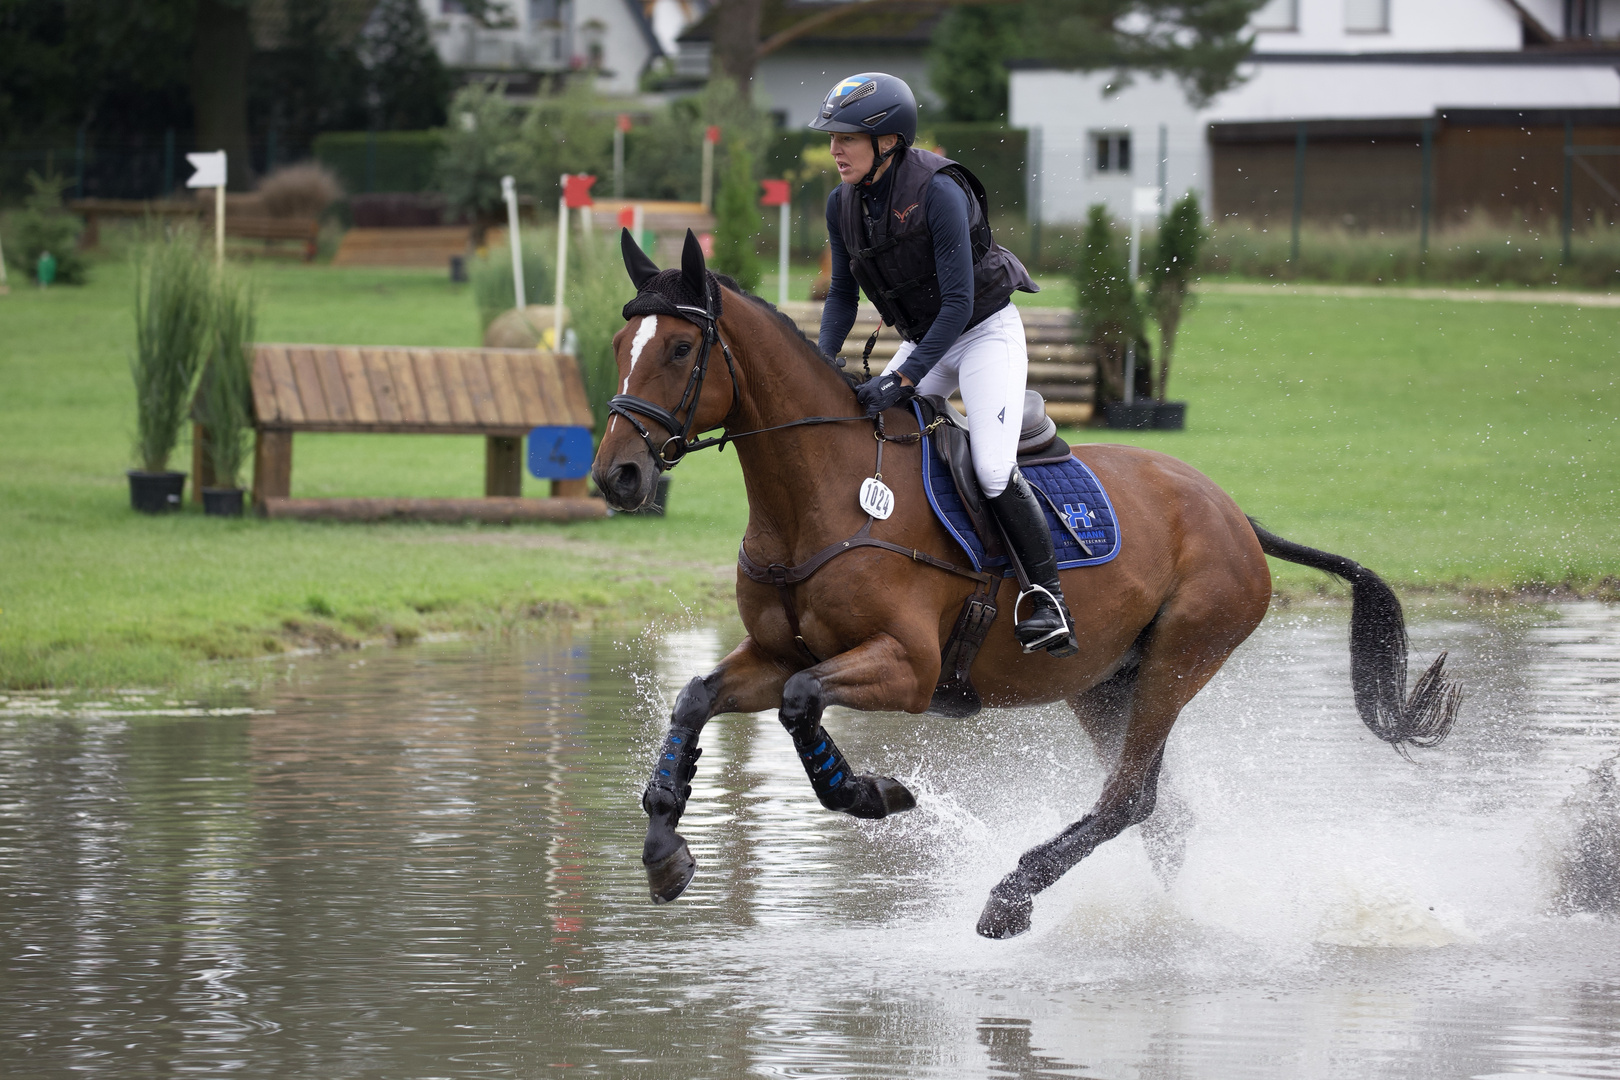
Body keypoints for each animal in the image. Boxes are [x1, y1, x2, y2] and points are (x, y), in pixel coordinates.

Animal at [599, 229, 1470, 939]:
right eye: (618, 343)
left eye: (679, 350)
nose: (618, 475)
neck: (819, 493)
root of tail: (1235, 515)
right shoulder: (779, 649)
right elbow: (698, 698)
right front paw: (663, 849)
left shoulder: (908, 667)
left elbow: (800, 701)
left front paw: (875, 794)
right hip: (1103, 682)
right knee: (1161, 813)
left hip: (1179, 658)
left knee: (1128, 801)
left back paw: (1011, 896)